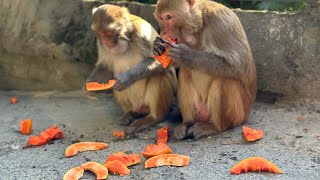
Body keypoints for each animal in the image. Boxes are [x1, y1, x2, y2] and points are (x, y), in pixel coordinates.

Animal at [87, 3, 178, 134]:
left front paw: (126, 78)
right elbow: (106, 66)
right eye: (100, 33)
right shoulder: (100, 44)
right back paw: (130, 114)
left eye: (109, 33)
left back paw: (153, 118)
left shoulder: (141, 34)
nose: (105, 41)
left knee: (159, 75)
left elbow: (159, 61)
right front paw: (92, 82)